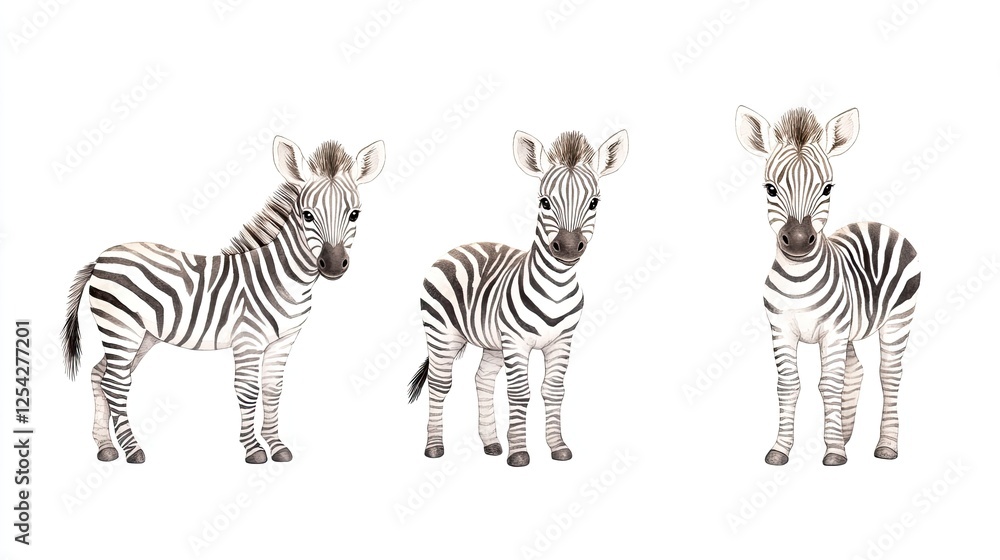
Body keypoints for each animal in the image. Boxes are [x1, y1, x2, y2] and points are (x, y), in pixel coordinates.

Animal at [61, 135, 385, 464]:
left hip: (142, 335)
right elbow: (248, 391)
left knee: (100, 374)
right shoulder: (248, 340)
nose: (332, 265)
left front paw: (277, 445)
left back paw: (106, 446)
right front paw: (254, 450)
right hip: (121, 328)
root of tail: (101, 259)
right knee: (115, 383)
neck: (284, 278)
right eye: (307, 215)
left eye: (354, 214)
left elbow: (273, 389)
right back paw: (132, 449)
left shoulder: (283, 340)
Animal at [407, 129, 629, 467]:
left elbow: (554, 390)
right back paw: (434, 447)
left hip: (492, 342)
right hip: (442, 333)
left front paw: (557, 447)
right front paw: (520, 453)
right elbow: (519, 392)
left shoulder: (562, 341)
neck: (556, 288)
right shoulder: (516, 342)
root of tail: (461, 246)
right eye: (545, 202)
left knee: (483, 379)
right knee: (439, 383)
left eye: (593, 202)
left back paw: (491, 444)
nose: (567, 247)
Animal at [735, 106, 921, 466]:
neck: (798, 281)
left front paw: (833, 451)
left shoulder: (832, 331)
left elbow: (829, 385)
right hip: (849, 329)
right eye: (770, 189)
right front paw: (782, 449)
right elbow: (789, 386)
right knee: (857, 371)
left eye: (827, 189)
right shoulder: (781, 328)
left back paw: (885, 445)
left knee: (889, 374)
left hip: (898, 319)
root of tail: (875, 222)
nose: (796, 241)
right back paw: (845, 435)